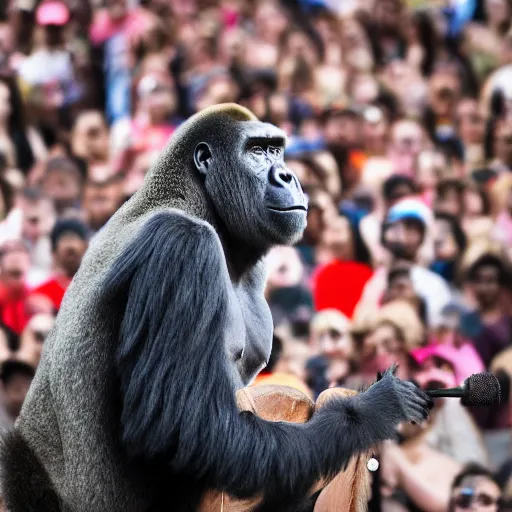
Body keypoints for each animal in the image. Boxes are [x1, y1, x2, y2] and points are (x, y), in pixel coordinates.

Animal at [0, 102, 432, 510]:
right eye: (256, 151)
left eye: (277, 150)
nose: (287, 176)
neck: (195, 198)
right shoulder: (182, 243)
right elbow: (184, 431)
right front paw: (370, 411)